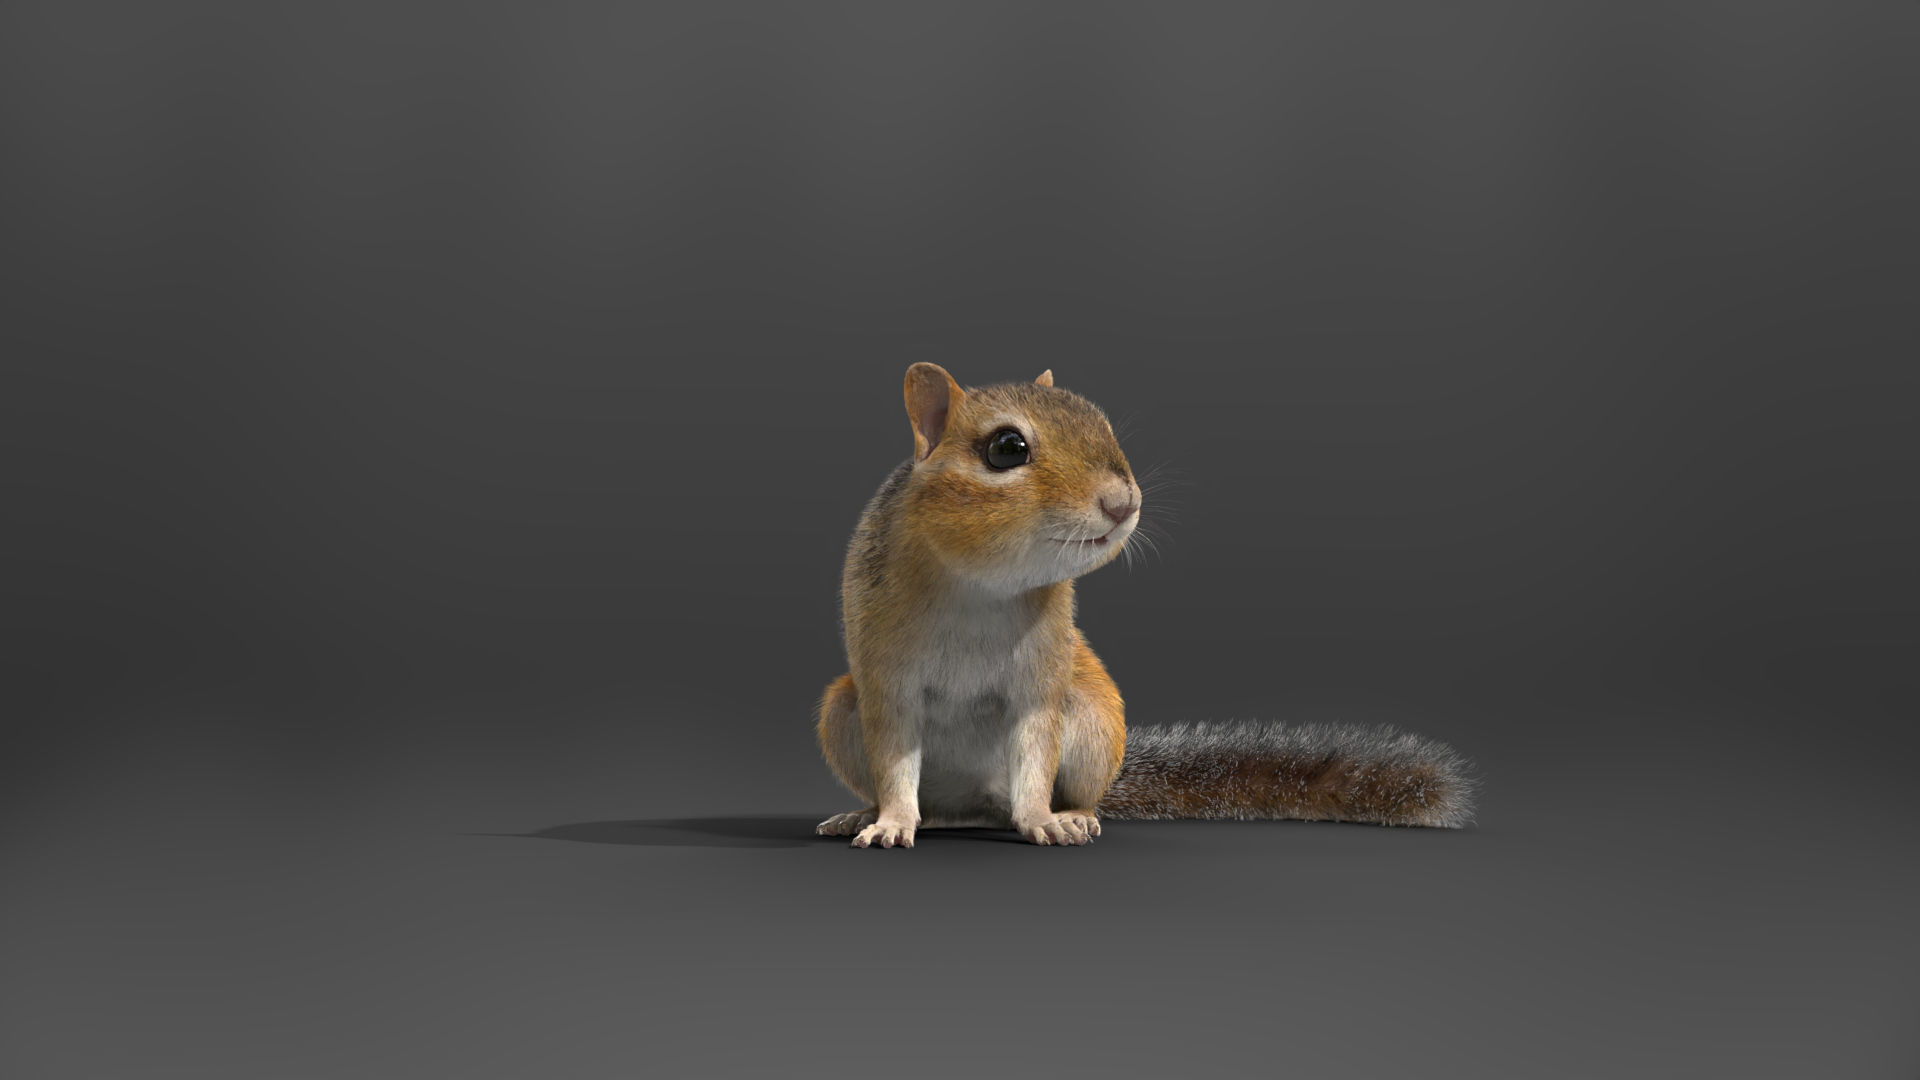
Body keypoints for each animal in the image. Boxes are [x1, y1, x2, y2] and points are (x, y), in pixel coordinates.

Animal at [815, 363, 1476, 848]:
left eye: (1103, 423)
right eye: (1006, 448)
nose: (1124, 502)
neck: (980, 588)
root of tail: (969, 806)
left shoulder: (1041, 679)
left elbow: (1034, 754)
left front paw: (1045, 820)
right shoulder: (886, 680)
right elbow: (896, 761)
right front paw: (891, 821)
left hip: (1091, 724)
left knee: (1050, 791)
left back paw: (1073, 814)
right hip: (842, 711)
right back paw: (860, 813)